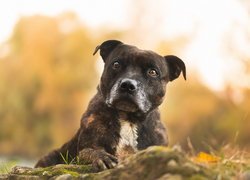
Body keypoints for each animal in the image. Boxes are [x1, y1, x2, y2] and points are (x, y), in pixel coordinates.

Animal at [35, 40, 187, 171]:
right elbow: (89, 151)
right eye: (116, 64)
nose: (128, 85)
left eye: (152, 72)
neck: (128, 118)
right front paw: (102, 157)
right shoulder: (86, 146)